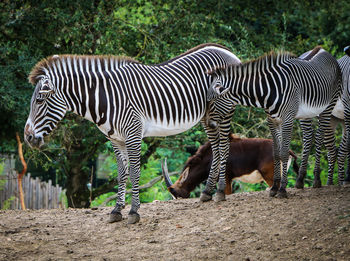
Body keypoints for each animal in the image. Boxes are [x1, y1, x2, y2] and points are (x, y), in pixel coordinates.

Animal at [22, 43, 241, 222]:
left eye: (39, 100)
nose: (28, 137)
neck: (105, 98)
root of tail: (228, 52)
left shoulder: (133, 135)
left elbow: (135, 172)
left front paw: (134, 211)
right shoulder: (115, 139)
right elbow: (121, 173)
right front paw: (116, 210)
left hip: (224, 111)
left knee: (224, 146)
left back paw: (220, 192)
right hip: (208, 116)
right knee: (215, 148)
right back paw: (207, 192)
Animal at [202, 46, 342, 197]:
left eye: (211, 101)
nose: (209, 124)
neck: (268, 91)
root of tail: (323, 50)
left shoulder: (287, 120)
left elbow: (284, 153)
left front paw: (282, 189)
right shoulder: (272, 121)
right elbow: (276, 153)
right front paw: (275, 187)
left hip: (328, 106)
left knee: (319, 137)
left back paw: (317, 180)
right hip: (307, 114)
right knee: (308, 137)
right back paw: (300, 180)